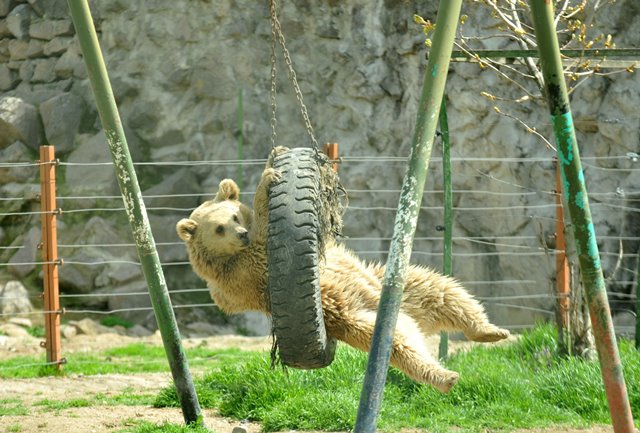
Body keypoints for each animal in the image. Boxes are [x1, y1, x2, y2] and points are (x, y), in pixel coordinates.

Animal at [175, 153, 510, 392]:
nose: (241, 234)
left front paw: (274, 156)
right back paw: (446, 376)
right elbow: (265, 227)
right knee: (400, 344)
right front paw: (269, 177)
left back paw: (490, 331)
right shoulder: (246, 269)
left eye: (233, 216)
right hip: (353, 315)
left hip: (394, 284)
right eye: (219, 228)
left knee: (443, 292)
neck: (226, 259)